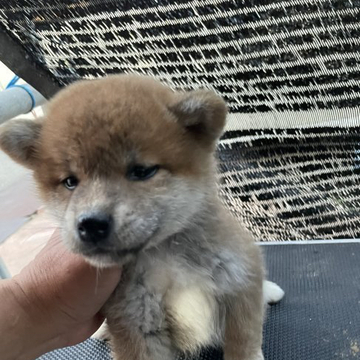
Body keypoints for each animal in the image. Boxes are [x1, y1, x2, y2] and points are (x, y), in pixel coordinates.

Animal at [0, 74, 282, 360]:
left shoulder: (239, 284)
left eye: (142, 171)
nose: (91, 224)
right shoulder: (135, 322)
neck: (169, 260)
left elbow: (244, 341)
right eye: (70, 182)